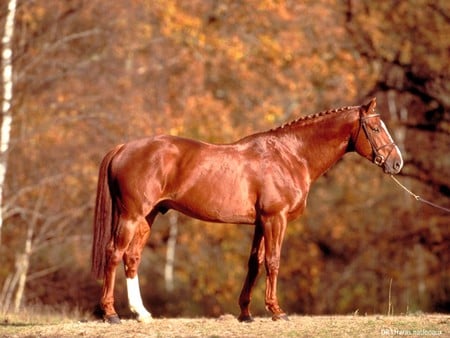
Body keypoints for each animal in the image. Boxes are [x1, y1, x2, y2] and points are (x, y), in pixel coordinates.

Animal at [91, 97, 404, 322]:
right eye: (375, 128)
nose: (397, 162)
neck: (289, 156)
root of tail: (123, 148)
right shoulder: (275, 219)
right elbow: (273, 262)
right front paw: (277, 311)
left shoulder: (261, 222)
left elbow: (255, 262)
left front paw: (246, 313)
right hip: (131, 216)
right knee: (114, 253)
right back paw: (111, 314)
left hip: (148, 216)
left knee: (132, 257)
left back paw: (142, 314)